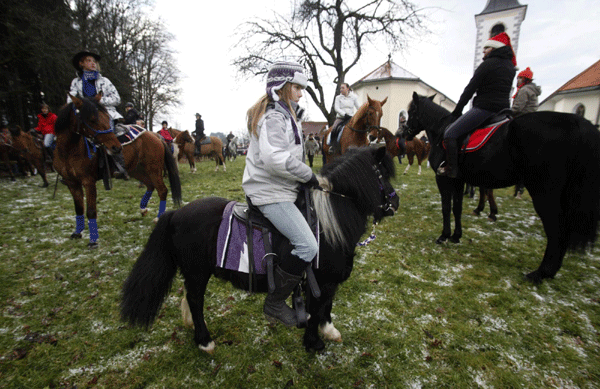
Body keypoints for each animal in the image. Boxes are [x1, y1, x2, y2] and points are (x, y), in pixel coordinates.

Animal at [120, 146, 398, 352]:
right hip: (198, 273)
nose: (395, 202)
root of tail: (176, 213)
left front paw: (328, 330)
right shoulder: (320, 281)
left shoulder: (326, 282)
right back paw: (205, 341)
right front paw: (313, 343)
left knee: (188, 298)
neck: (329, 224)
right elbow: (316, 309)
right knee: (196, 301)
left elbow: (326, 307)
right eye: (383, 175)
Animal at [404, 92, 600, 284]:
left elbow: (446, 208)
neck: (442, 130)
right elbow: (457, 208)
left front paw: (444, 236)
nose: (404, 132)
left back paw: (540, 273)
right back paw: (549, 272)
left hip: (544, 192)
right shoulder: (458, 181)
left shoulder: (443, 179)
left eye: (411, 111)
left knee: (556, 229)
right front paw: (456, 236)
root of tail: (577, 122)